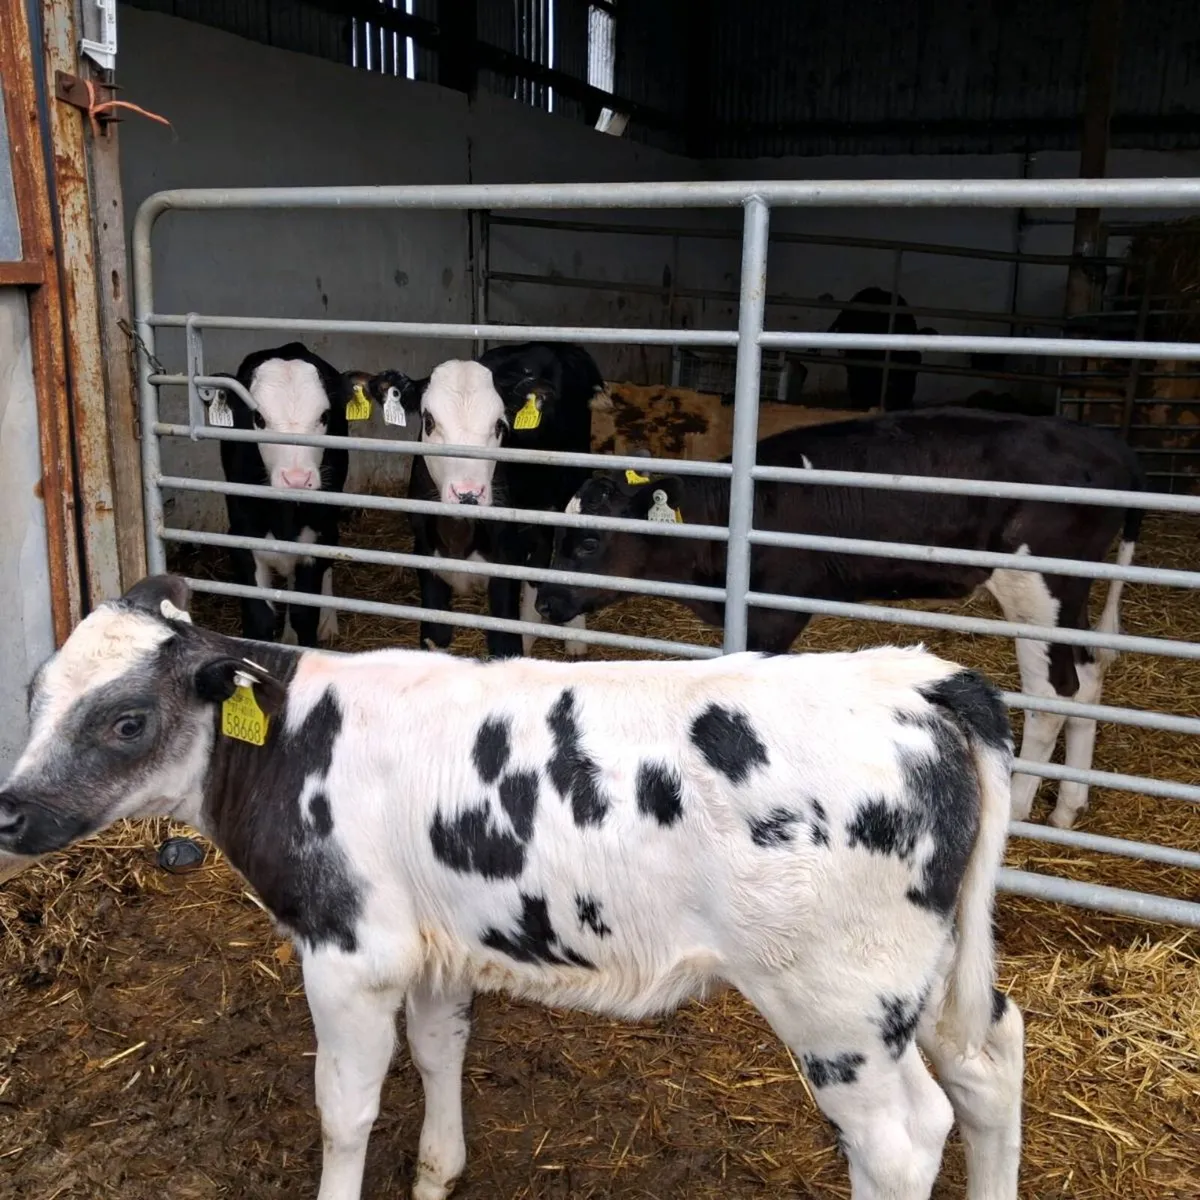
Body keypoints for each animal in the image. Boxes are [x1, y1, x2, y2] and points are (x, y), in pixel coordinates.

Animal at [0, 574, 1023, 1200]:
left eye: (129, 722)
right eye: (34, 689)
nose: (7, 813)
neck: (292, 738)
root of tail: (921, 679)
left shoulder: (352, 952)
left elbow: (344, 1107)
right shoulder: (437, 941)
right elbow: (440, 1049)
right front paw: (437, 1169)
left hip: (837, 1003)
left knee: (901, 1140)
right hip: (932, 974)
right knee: (990, 1064)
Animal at [201, 342, 351, 647]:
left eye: (324, 416)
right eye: (258, 418)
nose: (296, 479)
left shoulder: (315, 537)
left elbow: (305, 614)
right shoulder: (242, 537)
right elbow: (260, 619)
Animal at [361, 342, 604, 660]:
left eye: (500, 425)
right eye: (429, 421)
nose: (468, 493)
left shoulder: (504, 558)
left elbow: (504, 644)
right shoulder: (424, 553)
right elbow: (435, 637)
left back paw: (575, 639)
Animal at [535, 407, 1144, 831]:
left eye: (588, 542)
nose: (543, 603)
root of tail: (1110, 445)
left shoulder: (774, 615)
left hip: (1037, 587)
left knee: (1054, 693)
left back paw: (1018, 810)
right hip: (1070, 594)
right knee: (1089, 675)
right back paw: (1068, 805)